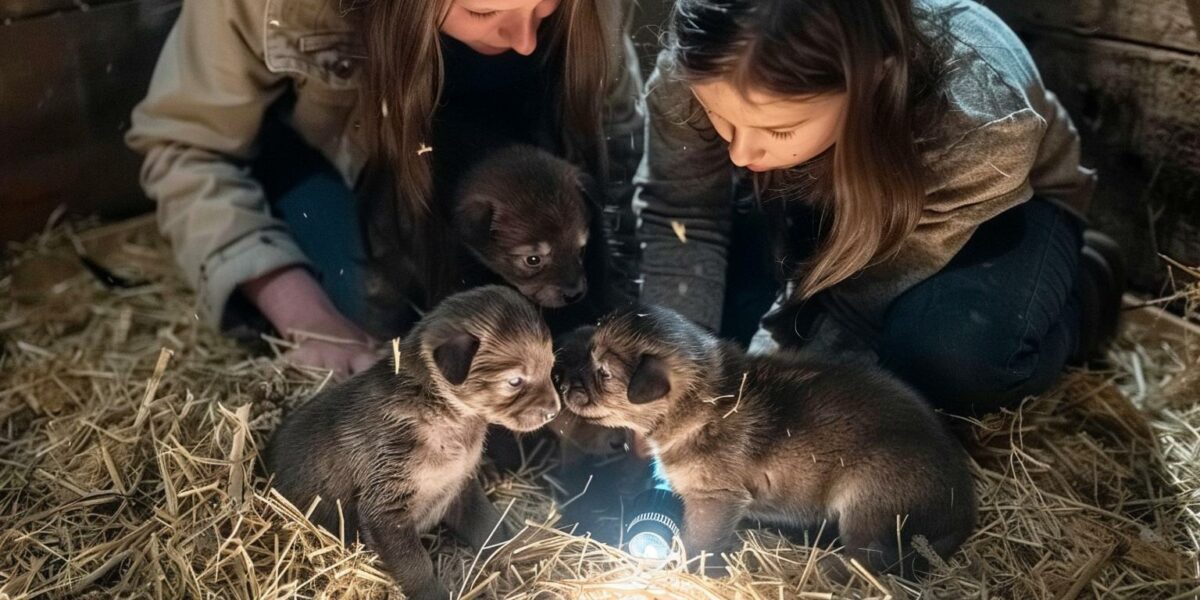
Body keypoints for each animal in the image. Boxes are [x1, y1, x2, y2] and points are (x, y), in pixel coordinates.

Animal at [265, 285, 559, 600]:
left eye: (551, 367)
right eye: (515, 382)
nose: (555, 411)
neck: (443, 412)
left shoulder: (462, 487)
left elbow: (489, 525)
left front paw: (514, 555)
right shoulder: (387, 512)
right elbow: (416, 565)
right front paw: (434, 593)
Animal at [556, 304, 979, 576]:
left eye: (602, 373)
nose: (559, 382)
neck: (701, 398)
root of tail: (962, 513)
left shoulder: (715, 499)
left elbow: (699, 540)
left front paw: (688, 569)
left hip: (867, 503)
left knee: (871, 558)